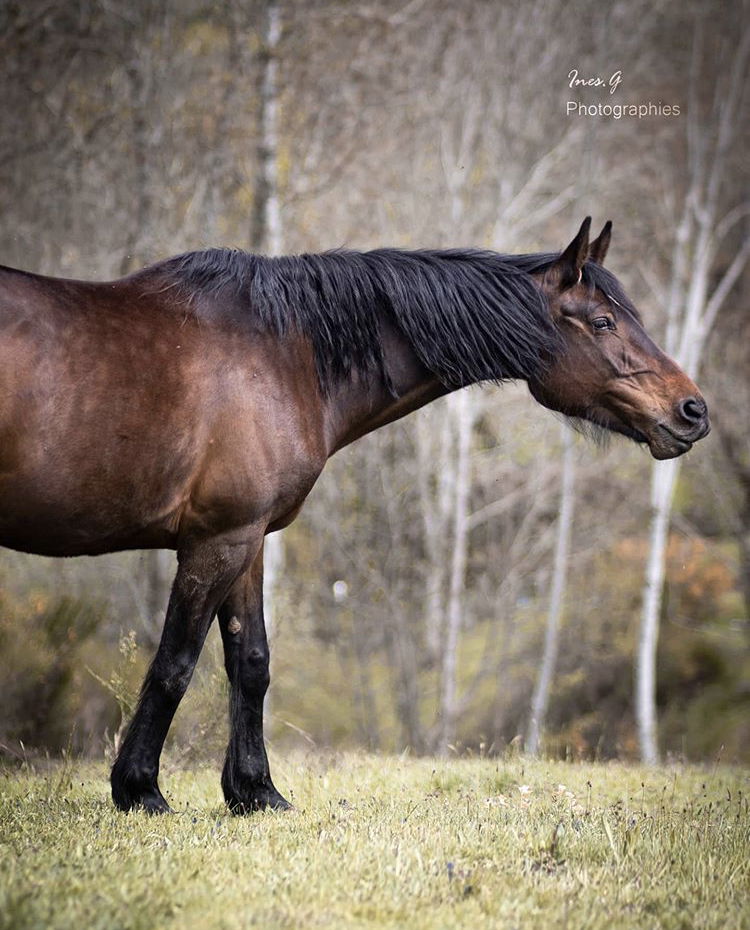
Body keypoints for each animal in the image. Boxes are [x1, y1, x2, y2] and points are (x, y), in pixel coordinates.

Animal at [0, 219, 712, 812]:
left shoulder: (247, 541)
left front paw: (256, 794)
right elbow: (175, 662)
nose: (692, 411)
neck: (283, 354)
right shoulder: (217, 540)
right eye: (602, 322)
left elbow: (250, 662)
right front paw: (140, 790)